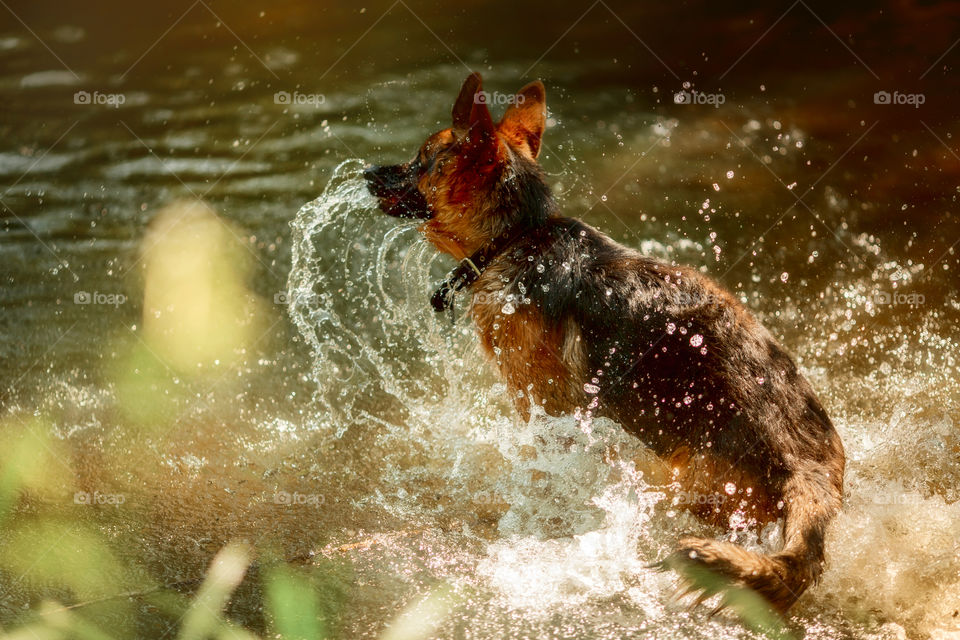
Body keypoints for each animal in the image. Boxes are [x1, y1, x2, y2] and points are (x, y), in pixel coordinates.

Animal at [364, 72, 844, 612]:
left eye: (421, 160)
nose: (366, 171)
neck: (517, 236)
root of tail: (809, 469)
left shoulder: (546, 405)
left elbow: (547, 467)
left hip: (684, 472)